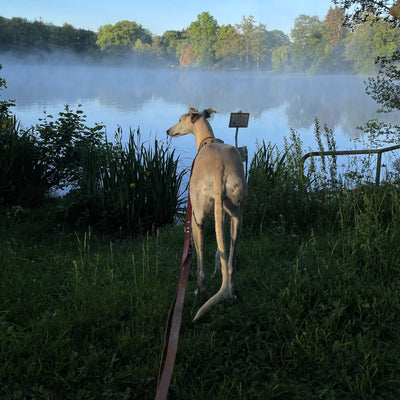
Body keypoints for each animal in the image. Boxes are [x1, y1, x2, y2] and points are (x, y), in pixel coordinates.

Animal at [166, 108, 247, 320]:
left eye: (179, 119)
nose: (168, 131)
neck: (207, 141)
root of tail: (220, 168)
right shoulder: (224, 215)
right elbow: (221, 251)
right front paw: (218, 270)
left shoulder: (194, 217)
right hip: (237, 216)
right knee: (231, 262)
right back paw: (229, 293)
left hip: (198, 217)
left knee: (200, 258)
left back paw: (200, 289)